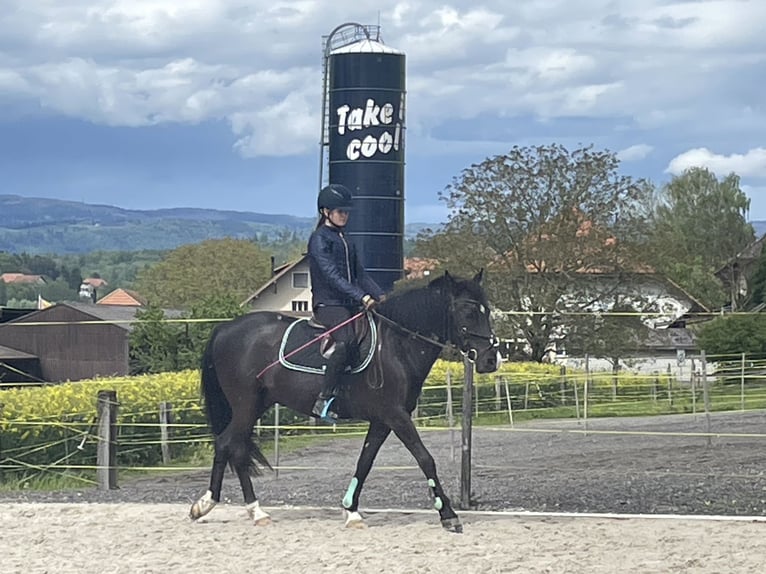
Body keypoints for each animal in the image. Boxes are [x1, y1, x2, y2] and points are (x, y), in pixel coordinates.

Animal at [191, 272, 500, 532]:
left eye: (487, 310)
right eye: (469, 312)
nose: (490, 360)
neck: (397, 345)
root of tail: (225, 329)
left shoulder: (382, 420)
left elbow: (365, 462)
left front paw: (351, 511)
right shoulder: (396, 415)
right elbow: (425, 459)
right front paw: (448, 514)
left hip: (256, 405)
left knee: (229, 445)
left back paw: (216, 506)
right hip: (246, 404)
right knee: (230, 444)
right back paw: (245, 510)